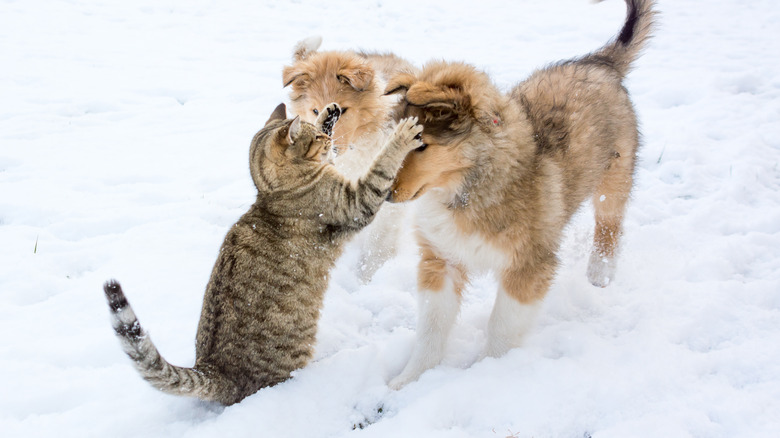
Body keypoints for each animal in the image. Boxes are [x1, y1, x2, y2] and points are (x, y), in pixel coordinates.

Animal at [103, 102, 424, 404]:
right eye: (316, 139)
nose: (329, 140)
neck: (272, 193)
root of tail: (212, 368)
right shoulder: (355, 203)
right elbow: (381, 167)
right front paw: (402, 135)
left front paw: (329, 113)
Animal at [382, 0, 652, 390]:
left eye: (421, 145)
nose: (383, 193)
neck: (464, 189)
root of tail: (598, 63)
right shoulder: (441, 259)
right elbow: (431, 329)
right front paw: (409, 380)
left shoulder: (528, 265)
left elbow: (502, 327)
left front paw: (490, 375)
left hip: (613, 178)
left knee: (610, 225)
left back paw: (599, 274)